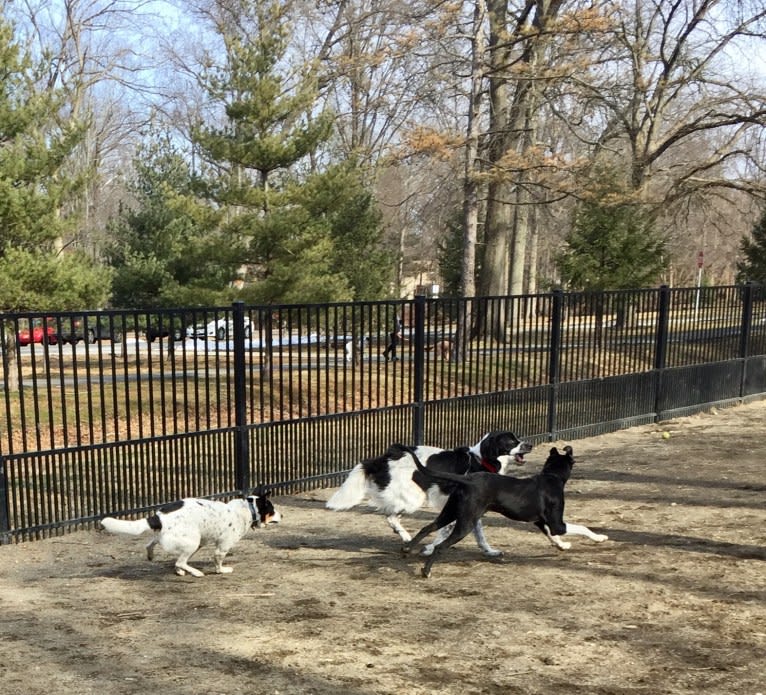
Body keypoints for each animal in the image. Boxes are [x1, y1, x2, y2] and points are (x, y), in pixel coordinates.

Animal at [100, 492, 282, 580]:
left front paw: (179, 571)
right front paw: (221, 570)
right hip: (192, 542)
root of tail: (159, 517)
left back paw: (154, 557)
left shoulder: (201, 543)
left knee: (151, 545)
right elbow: (218, 560)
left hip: (185, 540)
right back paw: (196, 573)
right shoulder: (223, 546)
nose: (282, 515)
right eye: (272, 510)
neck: (248, 509)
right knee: (179, 560)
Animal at [326, 432, 536, 556]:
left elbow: (479, 534)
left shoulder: (470, 510)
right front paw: (429, 548)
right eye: (512, 441)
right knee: (390, 516)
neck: (480, 459)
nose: (530, 445)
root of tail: (384, 458)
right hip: (413, 499)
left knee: (390, 515)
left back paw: (404, 537)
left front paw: (489, 551)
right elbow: (443, 532)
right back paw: (406, 536)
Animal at [404, 444, 608, 580]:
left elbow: (552, 535)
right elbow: (581, 528)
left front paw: (562, 546)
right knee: (440, 546)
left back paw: (406, 549)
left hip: (451, 512)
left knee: (427, 528)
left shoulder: (541, 521)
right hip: (466, 522)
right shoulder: (558, 524)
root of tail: (468, 480)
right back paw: (426, 571)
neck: (552, 476)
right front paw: (599, 538)